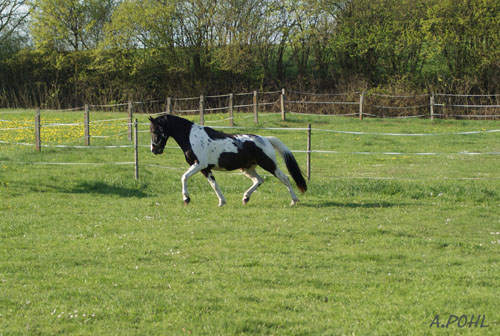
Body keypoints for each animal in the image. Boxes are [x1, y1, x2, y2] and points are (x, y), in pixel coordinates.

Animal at [148, 114, 306, 206]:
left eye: (156, 130)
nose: (154, 150)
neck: (191, 137)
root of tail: (265, 139)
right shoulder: (206, 168)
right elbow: (214, 185)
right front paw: (222, 202)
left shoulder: (199, 165)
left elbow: (184, 177)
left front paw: (186, 199)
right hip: (247, 168)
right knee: (259, 180)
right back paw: (245, 198)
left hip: (269, 164)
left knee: (285, 178)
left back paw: (294, 201)